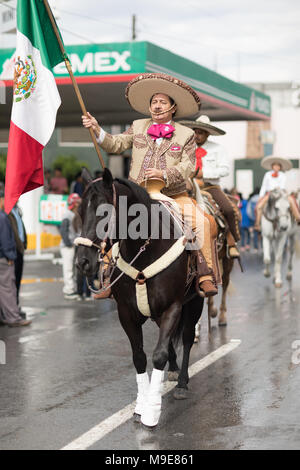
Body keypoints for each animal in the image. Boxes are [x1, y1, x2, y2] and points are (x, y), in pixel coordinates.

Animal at [77, 167, 204, 428]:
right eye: (80, 211)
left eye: (104, 212)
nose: (83, 262)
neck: (145, 250)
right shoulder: (126, 313)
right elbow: (139, 357)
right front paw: (140, 406)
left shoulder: (173, 308)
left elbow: (158, 355)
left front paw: (151, 412)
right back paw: (174, 370)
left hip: (196, 301)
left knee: (187, 338)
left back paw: (182, 382)